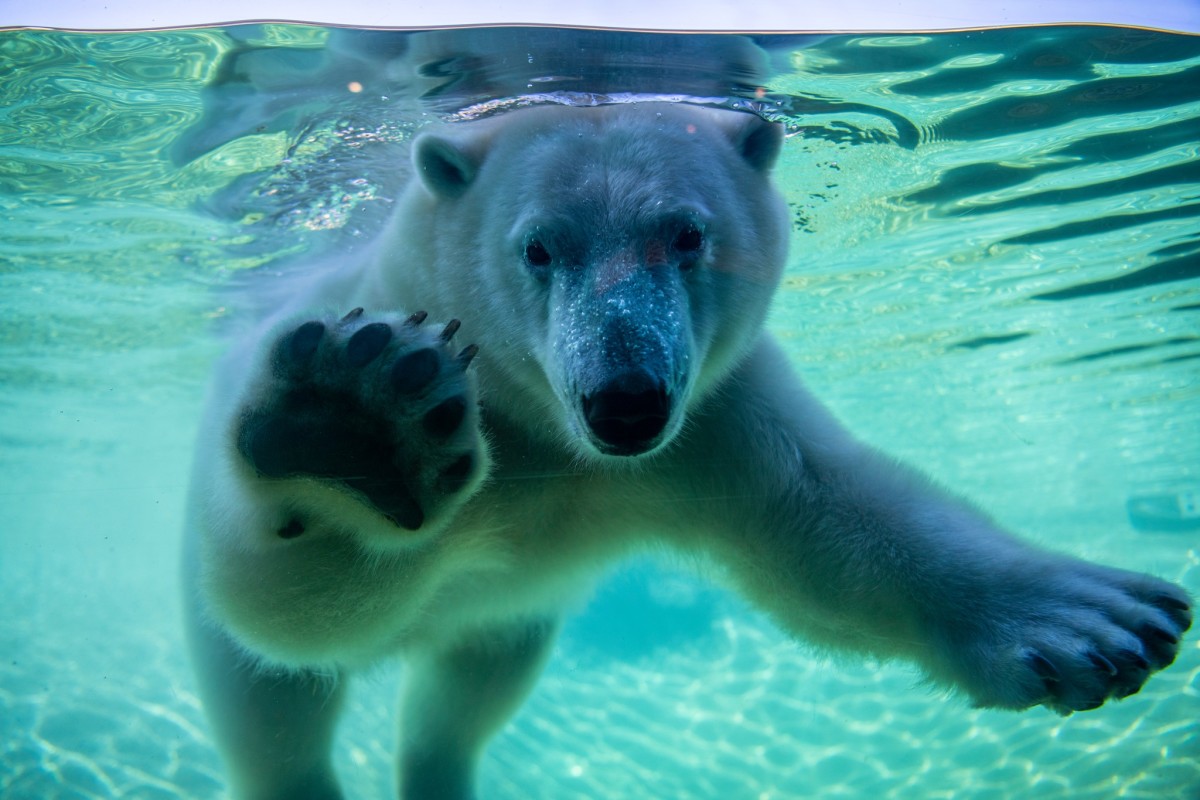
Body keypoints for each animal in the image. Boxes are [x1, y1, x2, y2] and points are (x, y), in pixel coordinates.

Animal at [183, 102, 1192, 800]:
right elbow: (296, 614)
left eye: (687, 234)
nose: (625, 401)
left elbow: (831, 526)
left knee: (459, 704)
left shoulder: (712, 425)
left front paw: (1095, 622)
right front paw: (355, 428)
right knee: (274, 724)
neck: (542, 431)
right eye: (538, 248)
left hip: (507, 630)